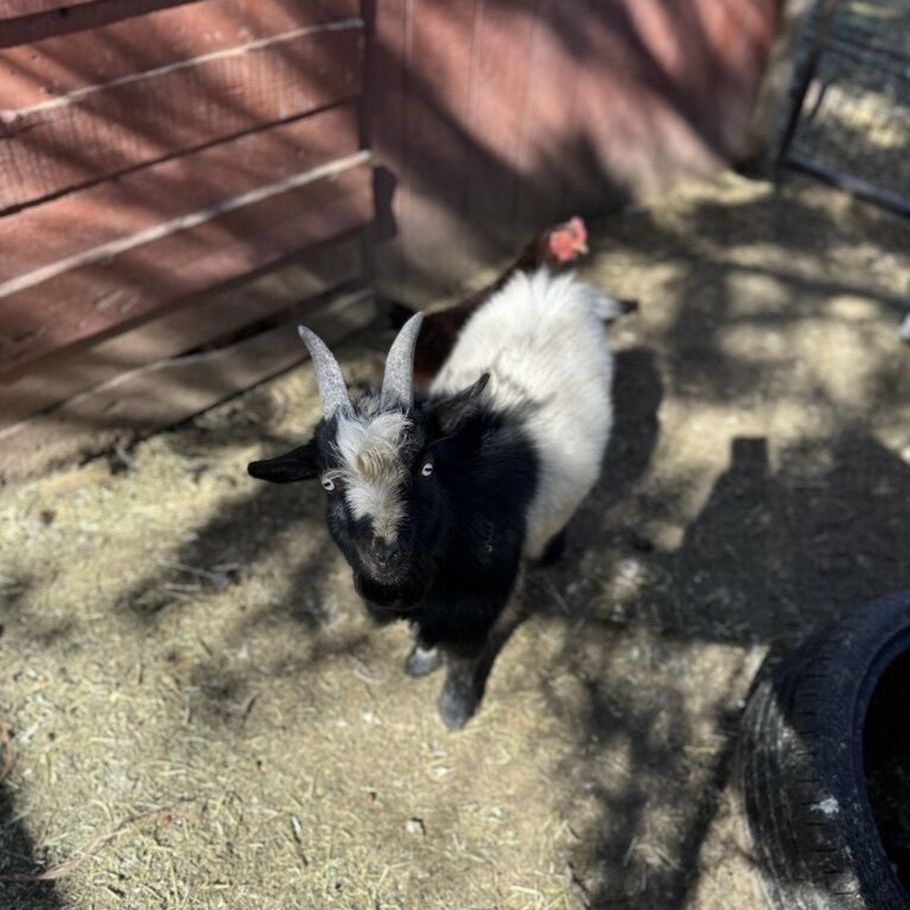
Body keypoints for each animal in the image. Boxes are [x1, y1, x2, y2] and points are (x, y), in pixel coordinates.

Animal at [248, 267, 615, 729]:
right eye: (328, 484)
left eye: (425, 468)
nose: (386, 554)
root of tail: (553, 287)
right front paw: (421, 660)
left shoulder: (480, 602)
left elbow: (464, 655)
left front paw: (455, 709)